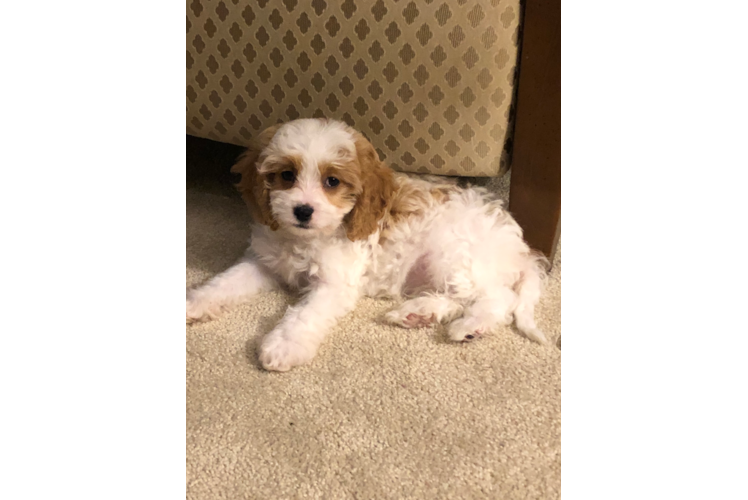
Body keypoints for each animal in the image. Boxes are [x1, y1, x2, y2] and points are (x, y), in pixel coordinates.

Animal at [187, 118, 548, 372]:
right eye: (287, 175)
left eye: (332, 181)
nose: (302, 210)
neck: (306, 238)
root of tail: (521, 249)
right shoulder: (263, 262)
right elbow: (224, 282)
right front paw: (196, 302)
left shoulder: (335, 284)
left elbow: (304, 314)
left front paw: (283, 346)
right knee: (456, 297)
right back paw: (417, 313)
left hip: (455, 256)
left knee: (498, 298)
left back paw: (470, 326)